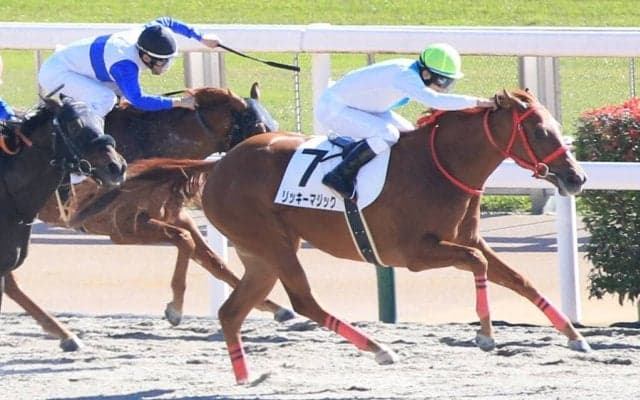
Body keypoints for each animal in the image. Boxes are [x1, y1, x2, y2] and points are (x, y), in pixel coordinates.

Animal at [194, 89, 589, 384]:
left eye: (555, 126)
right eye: (539, 132)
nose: (577, 177)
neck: (441, 164)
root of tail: (219, 166)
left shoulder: (468, 239)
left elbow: (519, 279)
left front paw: (575, 336)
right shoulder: (415, 253)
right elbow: (478, 264)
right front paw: (486, 335)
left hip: (259, 254)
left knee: (231, 312)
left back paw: (245, 377)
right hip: (272, 243)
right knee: (304, 302)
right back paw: (380, 349)